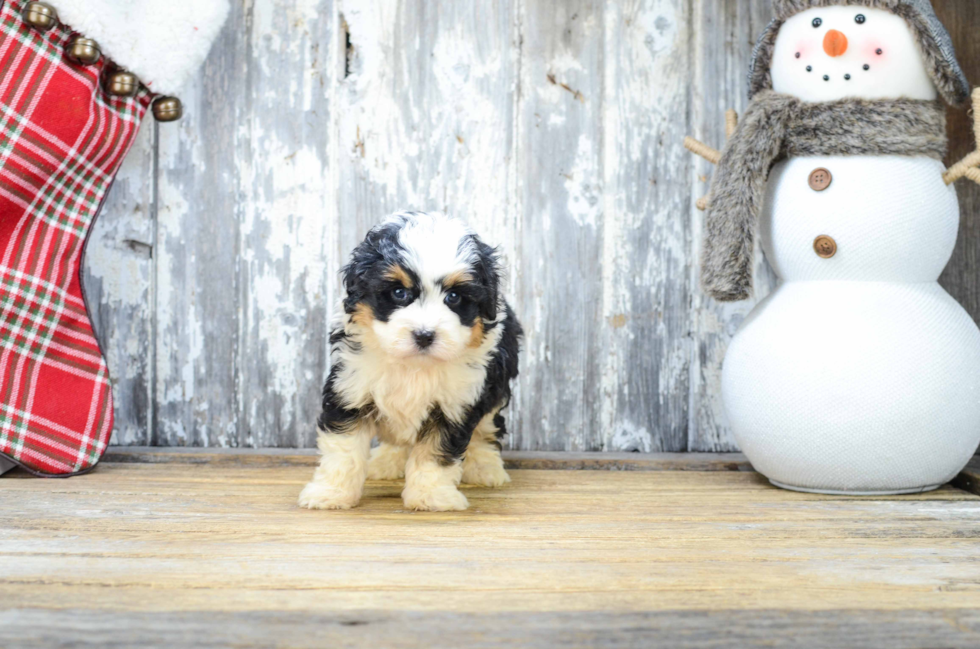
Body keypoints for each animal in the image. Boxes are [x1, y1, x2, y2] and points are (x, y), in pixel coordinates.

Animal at [298, 213, 524, 512]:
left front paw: (432, 496)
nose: (424, 335)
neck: (415, 365)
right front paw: (330, 493)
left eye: (454, 297)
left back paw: (485, 469)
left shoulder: (455, 404)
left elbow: (435, 453)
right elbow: (343, 449)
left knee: (486, 430)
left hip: (495, 391)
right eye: (398, 292)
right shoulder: (351, 389)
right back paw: (385, 462)